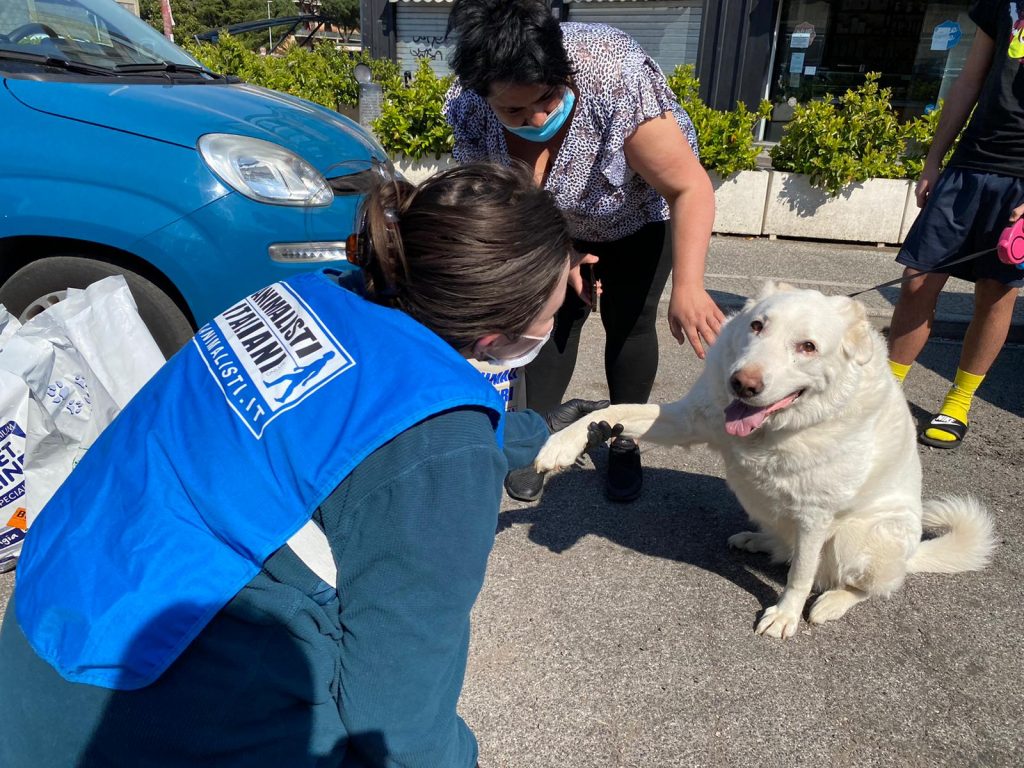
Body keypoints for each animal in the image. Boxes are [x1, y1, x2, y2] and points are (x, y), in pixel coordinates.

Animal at [536, 282, 991, 638]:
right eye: (757, 326)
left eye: (807, 347)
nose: (742, 384)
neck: (778, 428)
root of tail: (912, 555)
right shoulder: (686, 419)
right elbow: (614, 412)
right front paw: (562, 443)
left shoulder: (816, 514)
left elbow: (800, 575)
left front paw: (786, 616)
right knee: (784, 545)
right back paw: (758, 540)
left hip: (859, 537)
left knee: (862, 585)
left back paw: (832, 601)